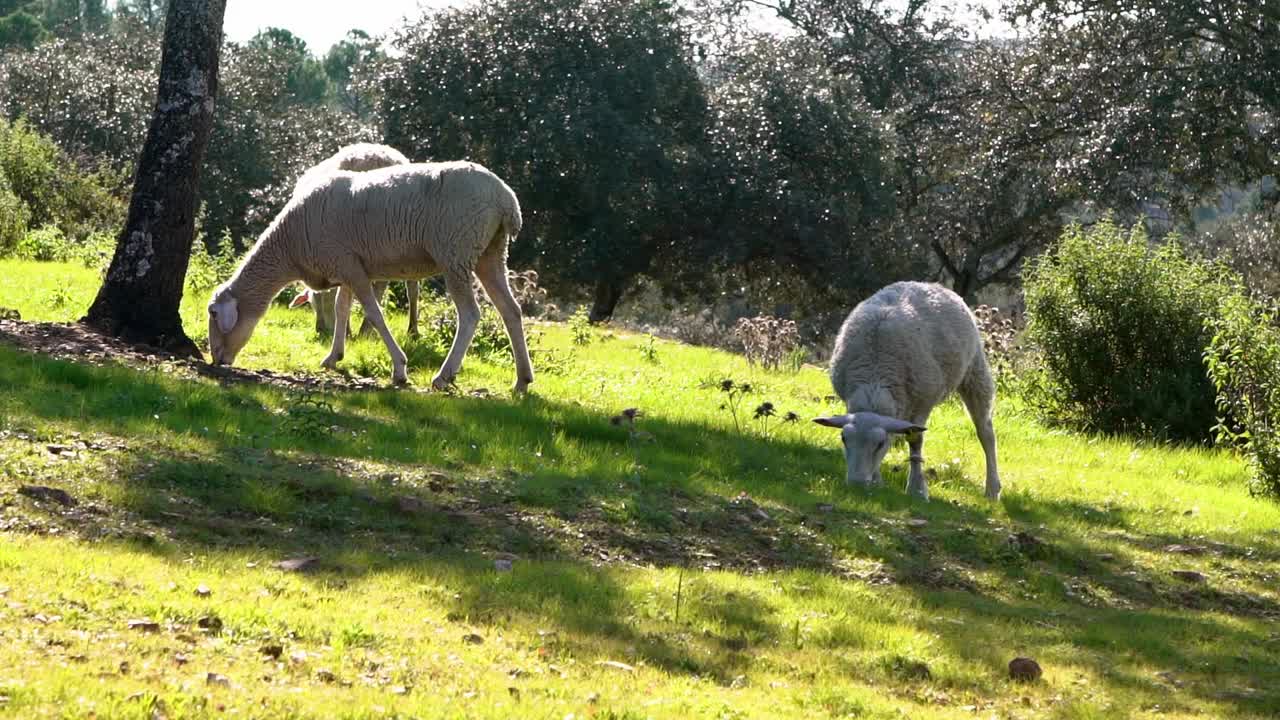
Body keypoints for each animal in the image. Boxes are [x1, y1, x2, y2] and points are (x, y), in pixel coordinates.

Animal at [808, 280, 998, 499]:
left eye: (880, 443)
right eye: (843, 438)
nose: (857, 484)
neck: (875, 379)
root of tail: (930, 284)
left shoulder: (924, 400)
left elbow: (915, 439)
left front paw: (917, 489)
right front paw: (877, 481)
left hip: (974, 369)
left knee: (985, 431)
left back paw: (992, 489)